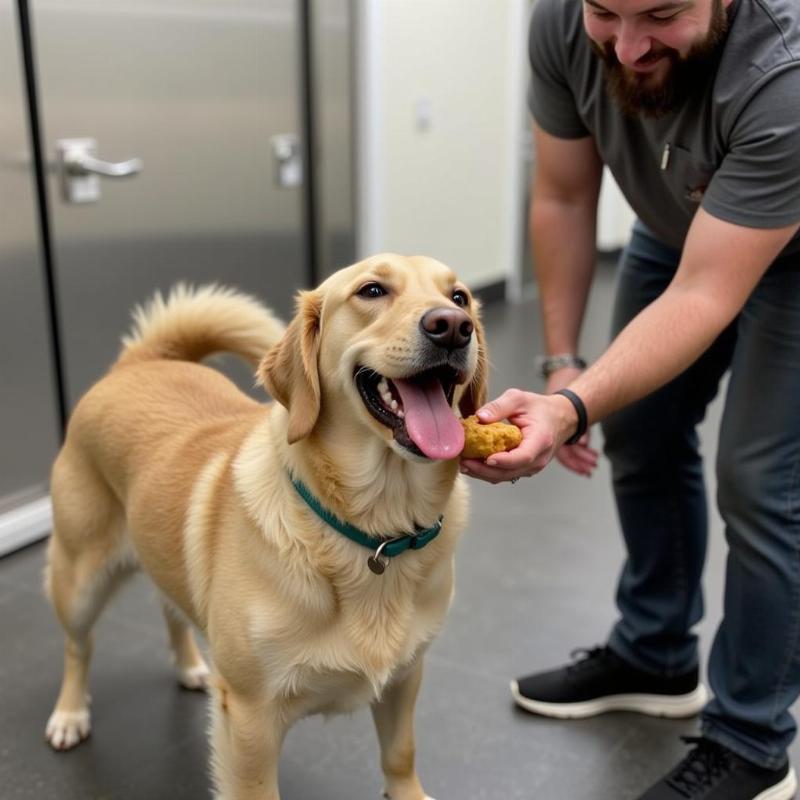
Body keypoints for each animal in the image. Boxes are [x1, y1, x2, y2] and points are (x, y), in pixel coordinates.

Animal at [47, 255, 490, 800]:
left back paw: (189, 665)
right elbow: (257, 787)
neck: (375, 528)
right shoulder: (250, 717)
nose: (452, 326)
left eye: (459, 297)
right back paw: (69, 714)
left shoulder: (404, 679)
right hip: (79, 580)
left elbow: (400, 755)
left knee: (171, 608)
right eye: (372, 290)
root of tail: (142, 360)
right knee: (77, 647)